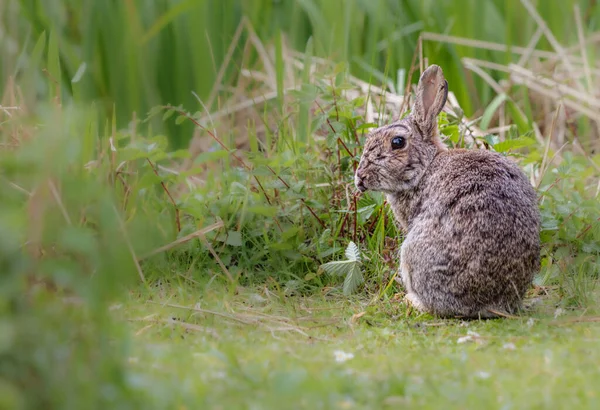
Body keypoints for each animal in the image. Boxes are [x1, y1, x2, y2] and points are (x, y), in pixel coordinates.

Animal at [354, 65, 540, 320]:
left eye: (397, 142)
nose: (360, 178)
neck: (427, 166)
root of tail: (488, 303)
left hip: (413, 254)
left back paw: (412, 301)